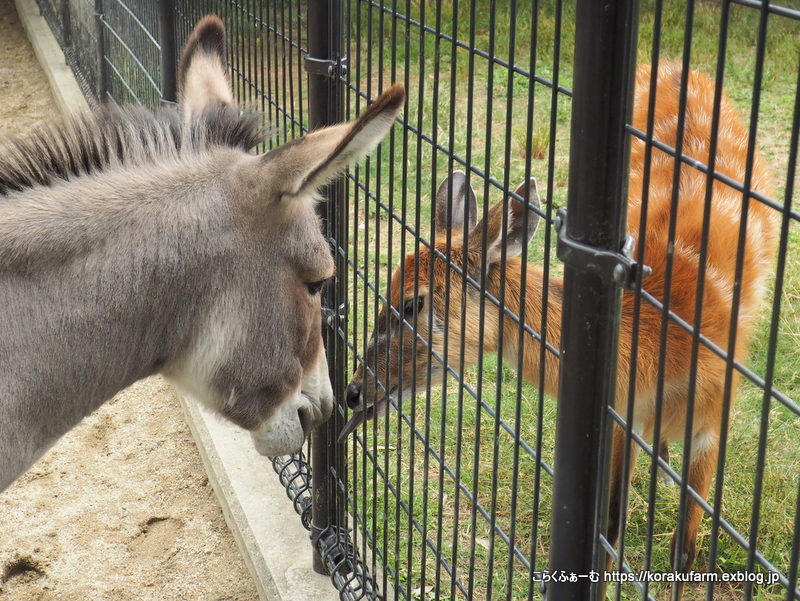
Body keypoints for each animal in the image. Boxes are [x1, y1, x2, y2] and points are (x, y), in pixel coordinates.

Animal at [342, 62, 776, 592]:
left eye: (412, 302)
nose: (353, 392)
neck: (664, 339)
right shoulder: (622, 416)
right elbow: (608, 527)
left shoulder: (718, 406)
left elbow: (684, 550)